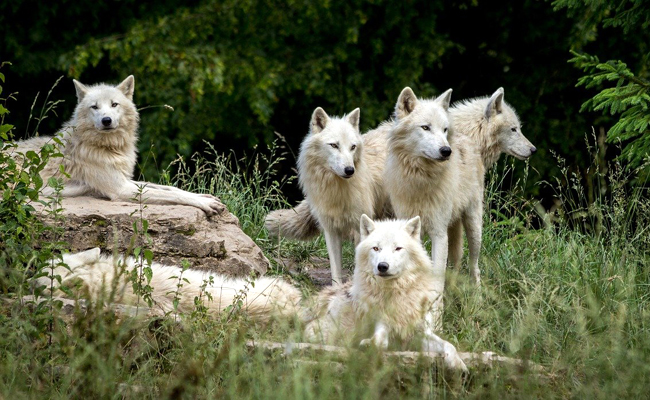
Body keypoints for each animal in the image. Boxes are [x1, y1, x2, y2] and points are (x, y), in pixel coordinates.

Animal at [12, 75, 223, 216]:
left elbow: (170, 189)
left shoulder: (127, 180)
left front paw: (205, 197)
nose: (106, 120)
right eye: (95, 107)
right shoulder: (122, 189)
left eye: (114, 104)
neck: (109, 148)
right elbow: (171, 195)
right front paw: (204, 203)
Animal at [288, 106, 384, 284]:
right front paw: (336, 288)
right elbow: (335, 269)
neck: (337, 189)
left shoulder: (360, 227)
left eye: (352, 147)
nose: (350, 170)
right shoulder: (330, 228)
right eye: (334, 145)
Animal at [302, 216, 466, 372]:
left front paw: (458, 364)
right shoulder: (383, 324)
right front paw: (370, 344)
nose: (382, 266)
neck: (397, 292)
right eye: (376, 248)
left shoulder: (420, 333)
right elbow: (380, 340)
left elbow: (448, 345)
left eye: (398, 248)